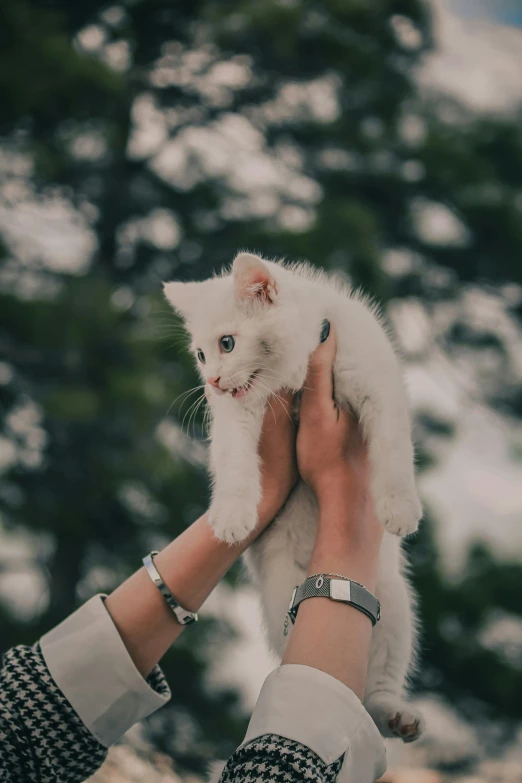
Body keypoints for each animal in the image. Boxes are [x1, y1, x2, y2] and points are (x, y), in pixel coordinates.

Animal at [166, 254, 422, 744]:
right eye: (201, 355)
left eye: (228, 343)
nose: (212, 381)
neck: (295, 373)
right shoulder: (235, 416)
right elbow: (233, 463)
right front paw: (231, 515)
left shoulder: (376, 381)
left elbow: (394, 446)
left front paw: (399, 507)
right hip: (283, 599)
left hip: (394, 610)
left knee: (372, 690)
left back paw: (394, 712)